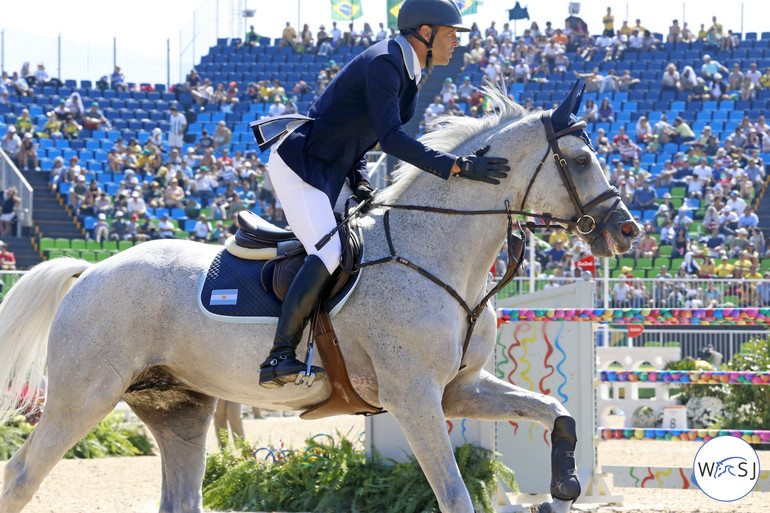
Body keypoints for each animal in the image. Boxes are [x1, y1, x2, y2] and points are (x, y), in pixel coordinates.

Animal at [0, 86, 636, 510]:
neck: (434, 251)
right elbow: (454, 495)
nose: (626, 231)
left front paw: (565, 487)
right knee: (22, 474)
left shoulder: (459, 390)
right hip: (83, 398)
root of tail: (92, 270)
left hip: (176, 406)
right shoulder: (413, 396)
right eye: (581, 160)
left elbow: (556, 411)